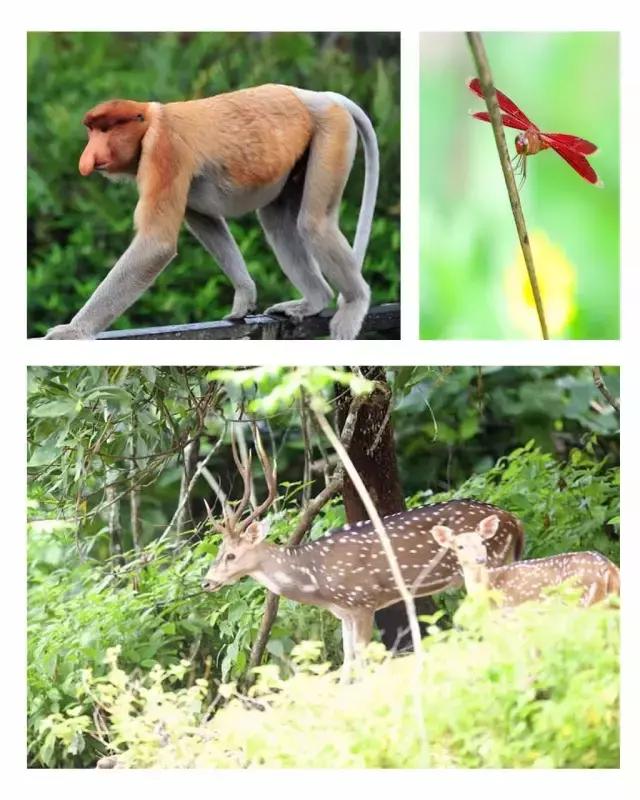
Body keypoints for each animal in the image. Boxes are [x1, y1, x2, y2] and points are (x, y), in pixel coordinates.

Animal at [45, 83, 380, 340]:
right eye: (92, 131)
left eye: (104, 130)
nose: (87, 158)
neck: (150, 122)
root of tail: (318, 96)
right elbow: (206, 221)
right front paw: (244, 299)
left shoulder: (165, 151)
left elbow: (156, 244)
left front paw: (72, 332)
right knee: (278, 223)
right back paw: (314, 300)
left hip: (332, 133)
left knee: (313, 224)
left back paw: (354, 302)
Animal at [200, 424, 524, 676]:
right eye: (219, 551)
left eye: (231, 555)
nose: (206, 582)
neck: (316, 579)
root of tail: (514, 520)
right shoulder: (344, 613)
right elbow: (346, 665)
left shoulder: (364, 601)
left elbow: (363, 662)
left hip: (488, 564)